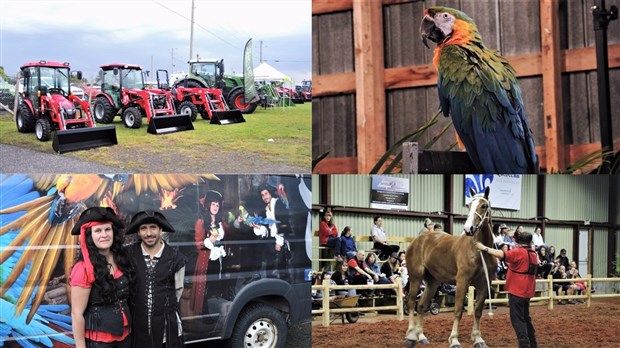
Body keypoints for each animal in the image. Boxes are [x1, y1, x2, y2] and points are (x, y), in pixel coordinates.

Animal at [404, 188, 496, 348]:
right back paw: (410, 336)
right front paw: (454, 340)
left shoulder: (485, 284)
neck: (479, 250)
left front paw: (478, 339)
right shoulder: (462, 282)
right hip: (416, 277)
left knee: (421, 305)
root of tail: (418, 240)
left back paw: (421, 336)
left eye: (484, 206)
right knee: (410, 303)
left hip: (432, 282)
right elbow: (458, 310)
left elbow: (478, 311)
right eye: (468, 205)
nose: (469, 229)